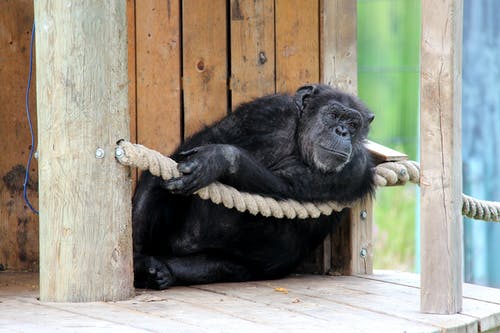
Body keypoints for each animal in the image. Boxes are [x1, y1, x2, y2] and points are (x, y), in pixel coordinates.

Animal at [133, 83, 376, 288]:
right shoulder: (266, 111)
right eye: (333, 115)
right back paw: (138, 262)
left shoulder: (355, 170)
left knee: (220, 265)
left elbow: (285, 188)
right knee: (157, 181)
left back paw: (163, 272)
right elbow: (202, 143)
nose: (342, 131)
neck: (298, 142)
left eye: (353, 124)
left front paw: (219, 158)